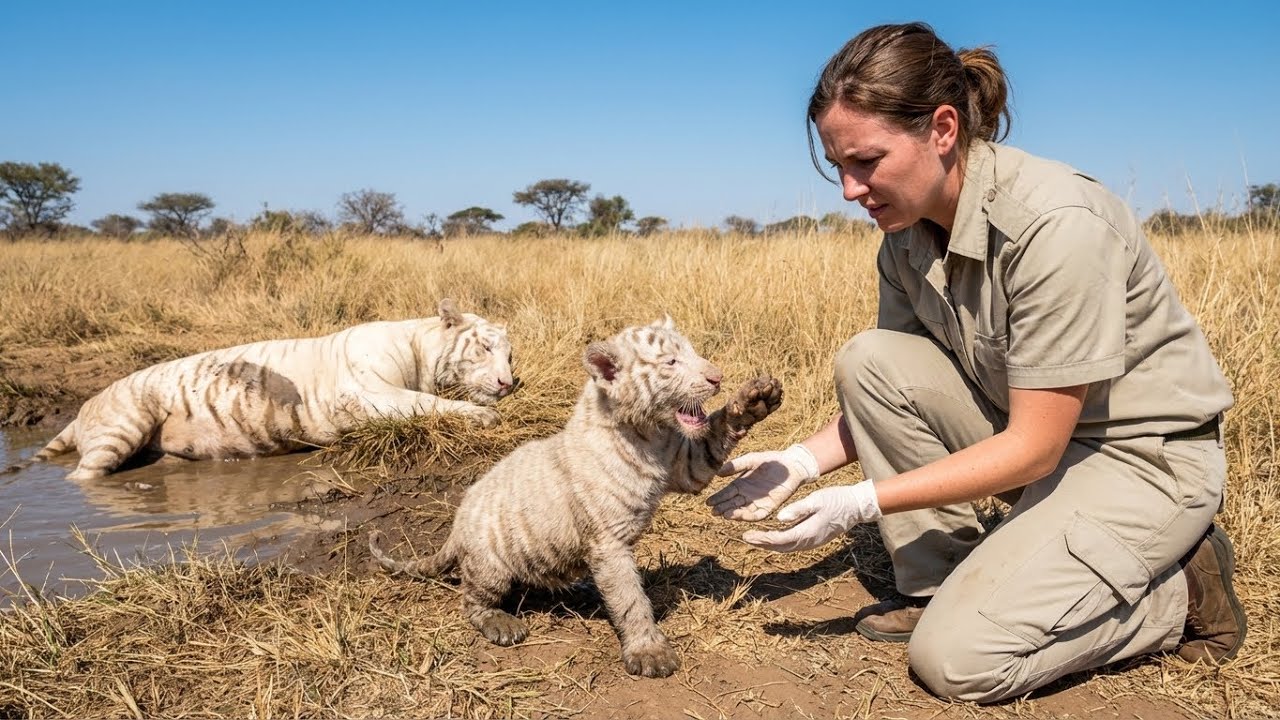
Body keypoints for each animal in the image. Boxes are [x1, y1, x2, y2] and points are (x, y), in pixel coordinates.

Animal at [7, 298, 514, 481]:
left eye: (512, 354)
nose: (512, 383)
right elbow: (428, 404)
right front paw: (486, 416)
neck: (420, 349)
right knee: (82, 477)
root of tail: (82, 407)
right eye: (486, 347)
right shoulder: (372, 392)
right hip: (122, 425)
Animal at [369, 317, 783, 678]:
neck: (651, 434)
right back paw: (502, 624)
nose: (717, 377)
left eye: (693, 353)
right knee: (472, 599)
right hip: (490, 565)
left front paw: (755, 399)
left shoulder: (686, 463)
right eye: (671, 361)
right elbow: (630, 598)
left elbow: (715, 432)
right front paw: (649, 652)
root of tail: (456, 527)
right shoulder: (609, 542)